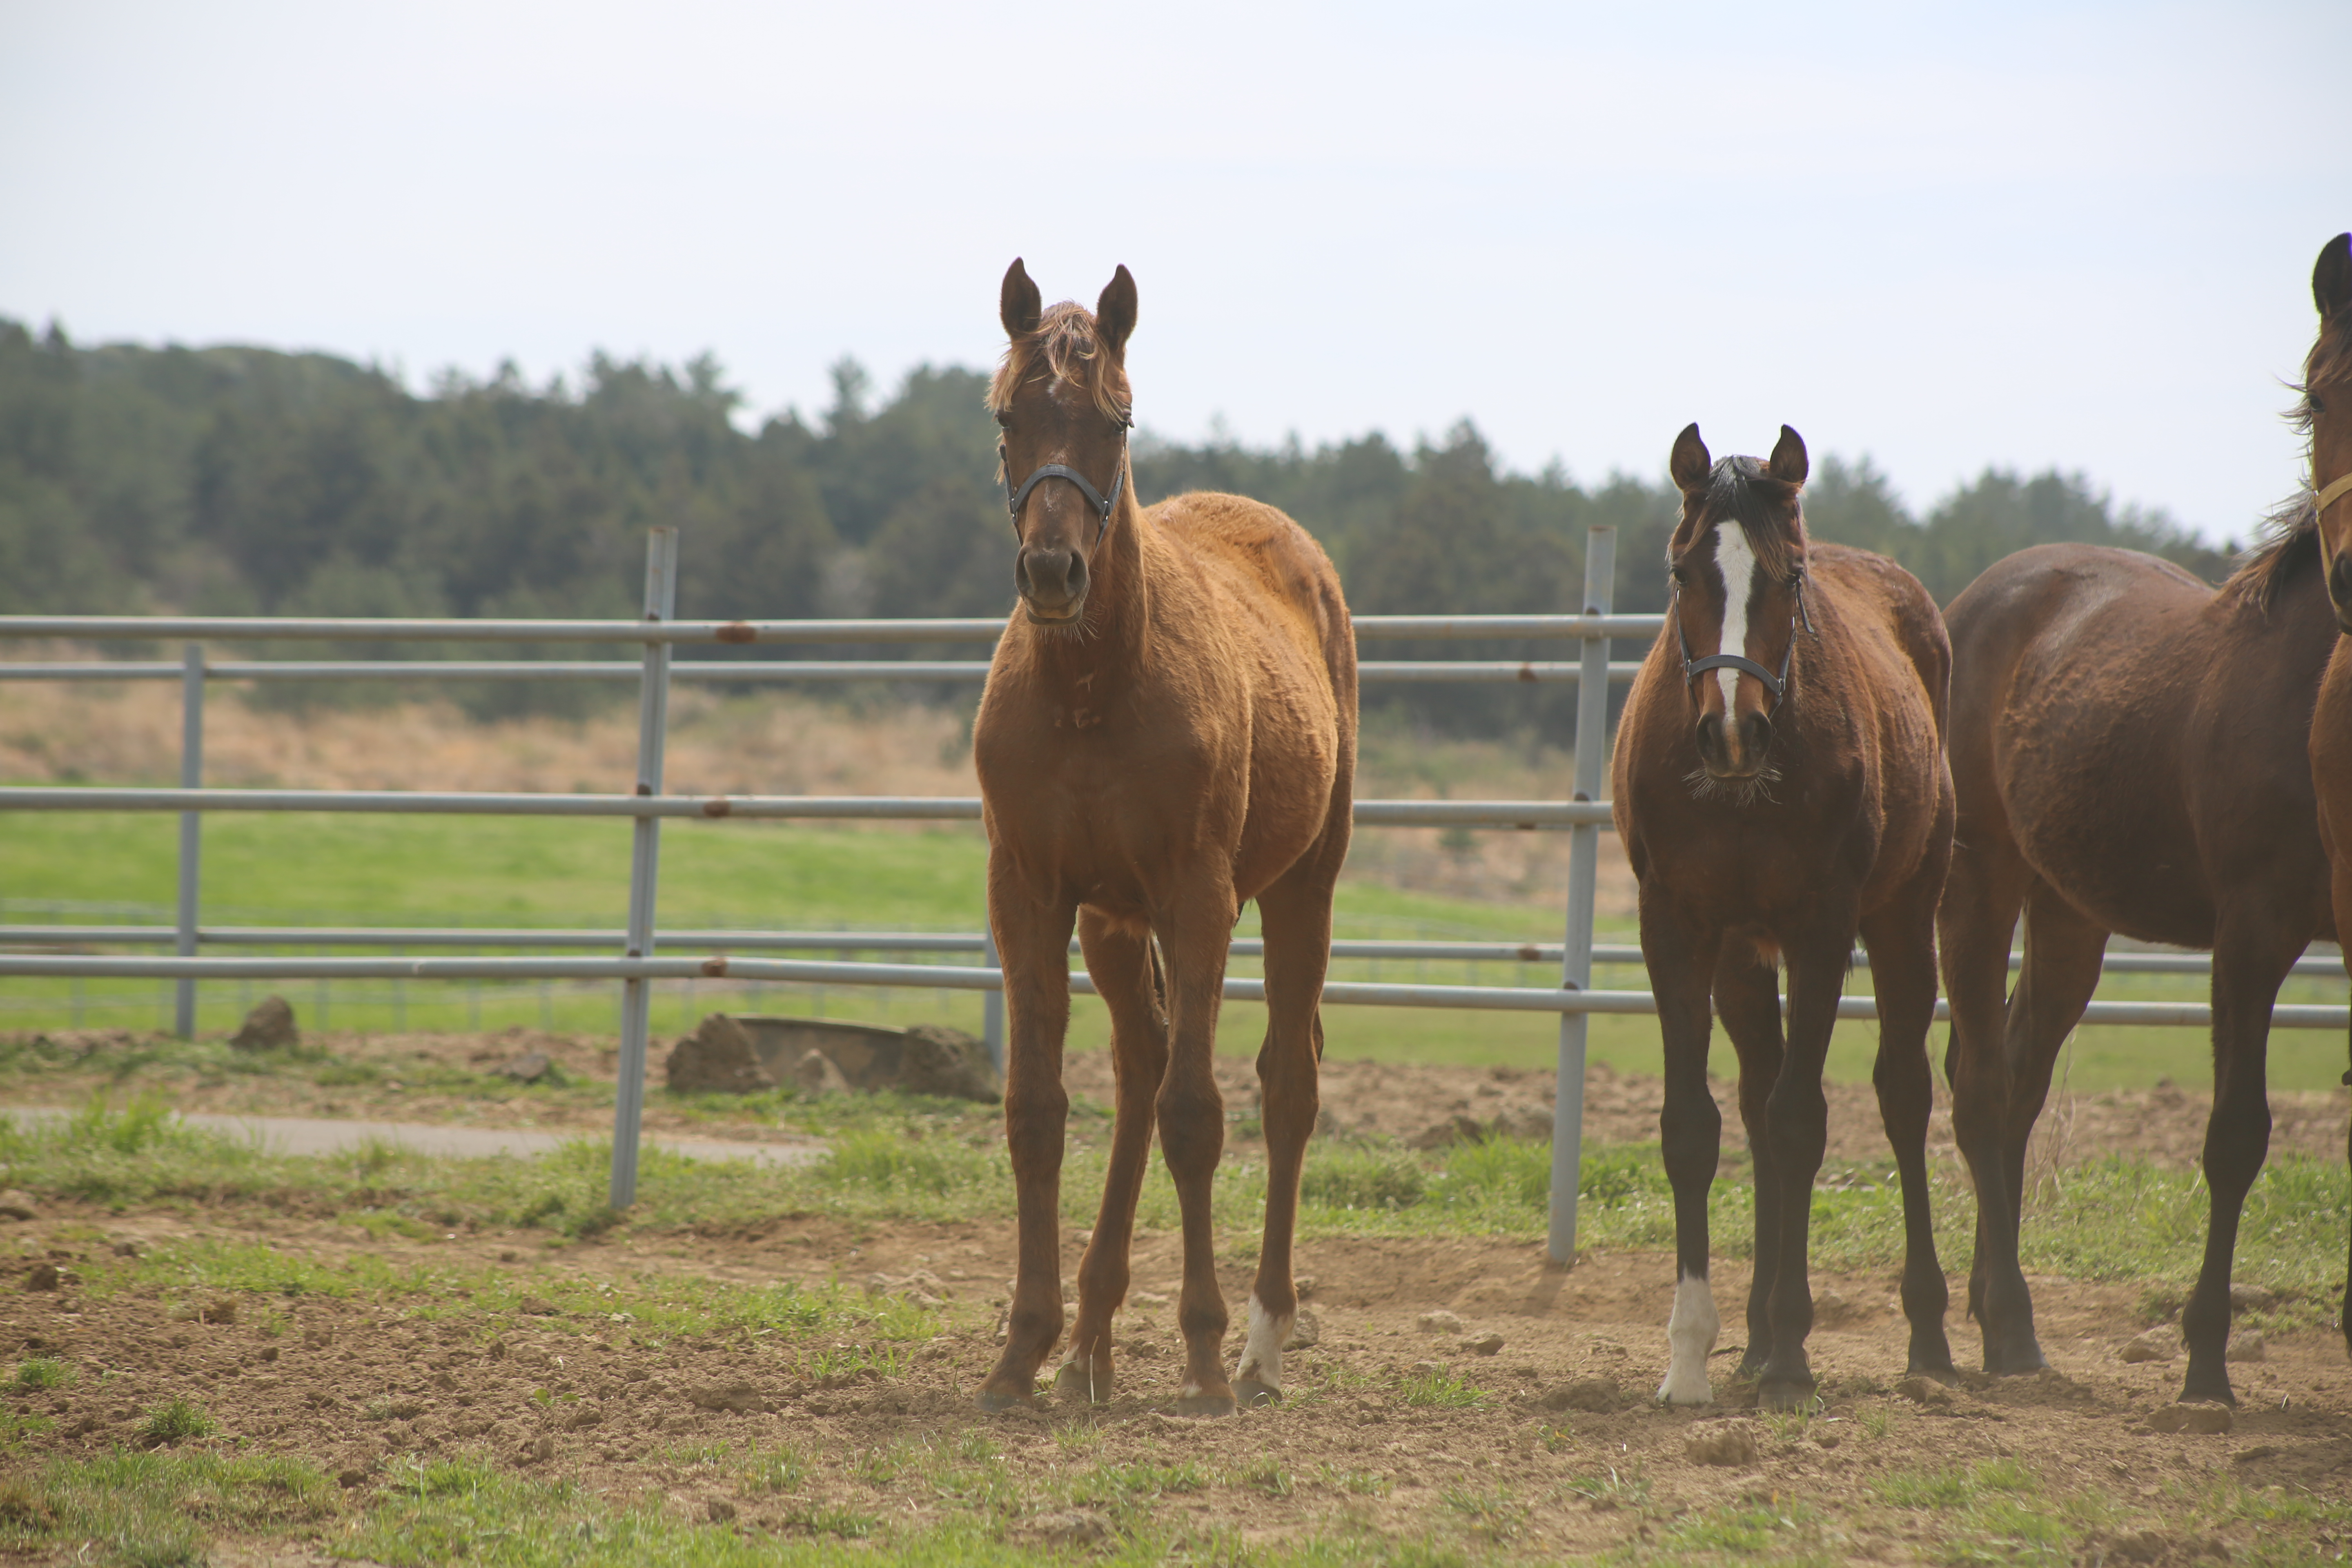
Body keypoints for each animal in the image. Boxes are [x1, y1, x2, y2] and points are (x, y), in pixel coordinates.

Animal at [964, 263, 1354, 1420]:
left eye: (1116, 418)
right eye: (1008, 417)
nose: (1052, 573)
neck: (1094, 687)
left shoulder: (1199, 897)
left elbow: (1197, 1112)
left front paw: (1202, 1352)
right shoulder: (1031, 894)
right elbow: (1039, 1110)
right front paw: (1021, 1351)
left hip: (1302, 889)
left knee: (1285, 1086)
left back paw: (1259, 1343)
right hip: (1109, 919)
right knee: (1137, 1069)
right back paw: (1088, 1346)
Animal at [1608, 421, 1957, 1410]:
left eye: (1788, 577)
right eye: (1683, 569)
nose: (1733, 732)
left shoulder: (1822, 927)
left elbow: (1804, 1122)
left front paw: (1797, 1353)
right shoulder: (1677, 928)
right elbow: (1697, 1130)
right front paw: (1691, 1356)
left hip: (1904, 919)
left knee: (1902, 1096)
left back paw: (1926, 1338)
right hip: (1741, 959)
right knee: (1757, 1111)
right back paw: (1755, 1341)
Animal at [1938, 227, 2342, 1401]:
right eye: (2321, 385)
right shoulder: (2252, 936)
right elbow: (2236, 1135)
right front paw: (2205, 1360)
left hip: (2070, 914)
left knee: (2019, 1082)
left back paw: (1994, 1312)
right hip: (1979, 879)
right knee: (1980, 1085)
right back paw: (2009, 1331)